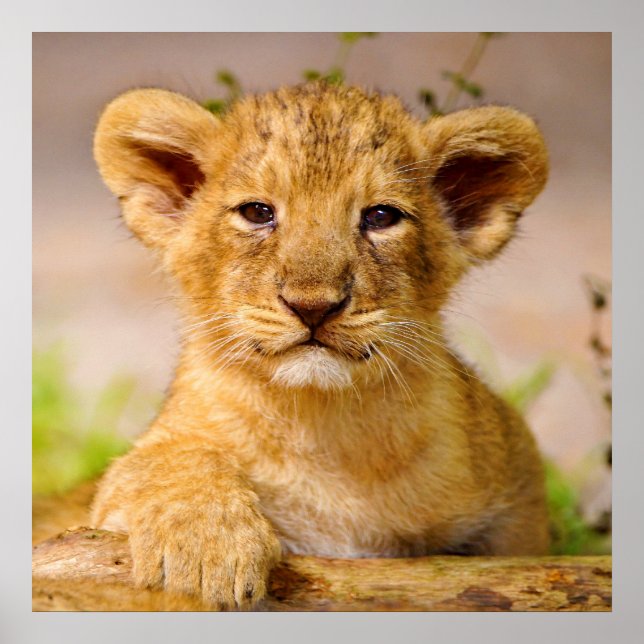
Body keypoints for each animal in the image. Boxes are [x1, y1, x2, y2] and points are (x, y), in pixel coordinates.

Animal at [90, 82, 550, 609]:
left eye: (381, 216)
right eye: (257, 213)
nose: (312, 306)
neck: (323, 424)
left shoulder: (519, 486)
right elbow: (167, 459)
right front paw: (205, 551)